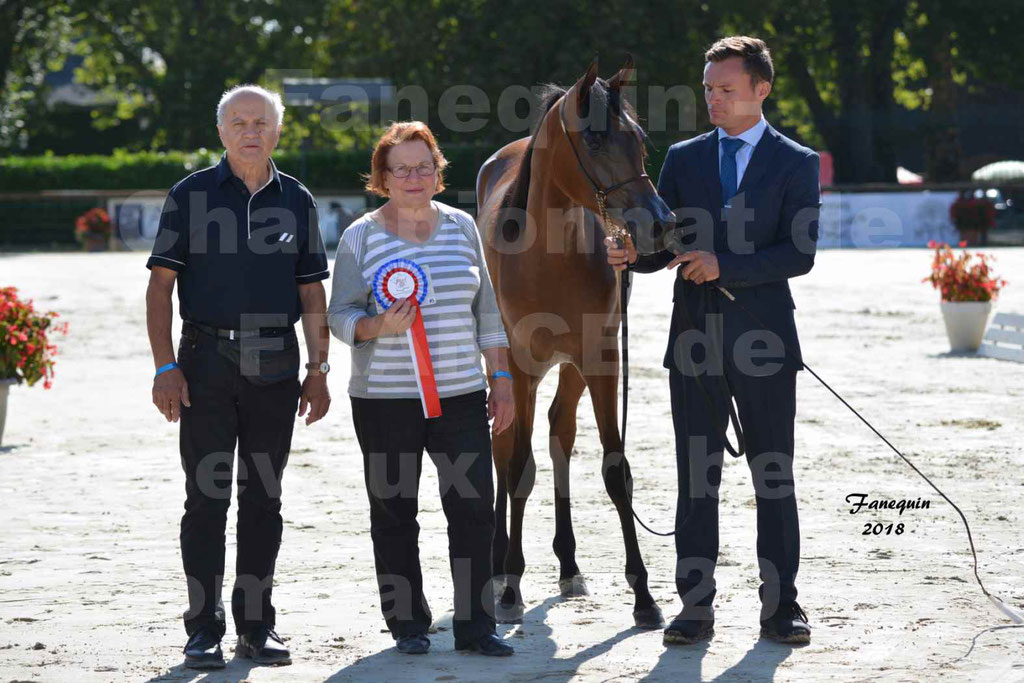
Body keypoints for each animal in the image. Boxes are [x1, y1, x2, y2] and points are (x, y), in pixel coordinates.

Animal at [475, 56, 675, 626]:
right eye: (597, 139)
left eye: (639, 139)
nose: (661, 223)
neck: (549, 255)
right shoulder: (519, 366)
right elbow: (518, 469)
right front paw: (512, 589)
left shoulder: (602, 360)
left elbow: (616, 470)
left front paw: (645, 596)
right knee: (503, 447)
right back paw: (497, 565)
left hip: (570, 368)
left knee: (559, 432)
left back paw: (568, 564)